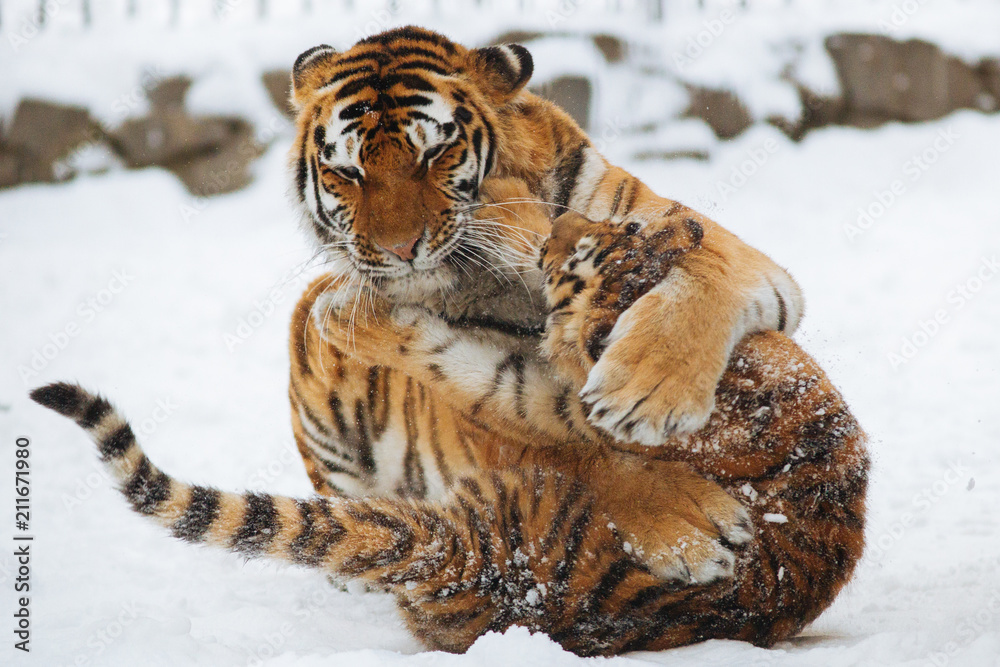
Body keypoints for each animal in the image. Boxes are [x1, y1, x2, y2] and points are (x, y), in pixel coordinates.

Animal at [30, 26, 869, 658]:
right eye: (345, 171)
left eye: (435, 154)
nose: (398, 252)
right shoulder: (490, 404)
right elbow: (566, 444)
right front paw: (690, 525)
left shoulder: (737, 269)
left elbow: (687, 291)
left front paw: (646, 392)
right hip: (336, 443)